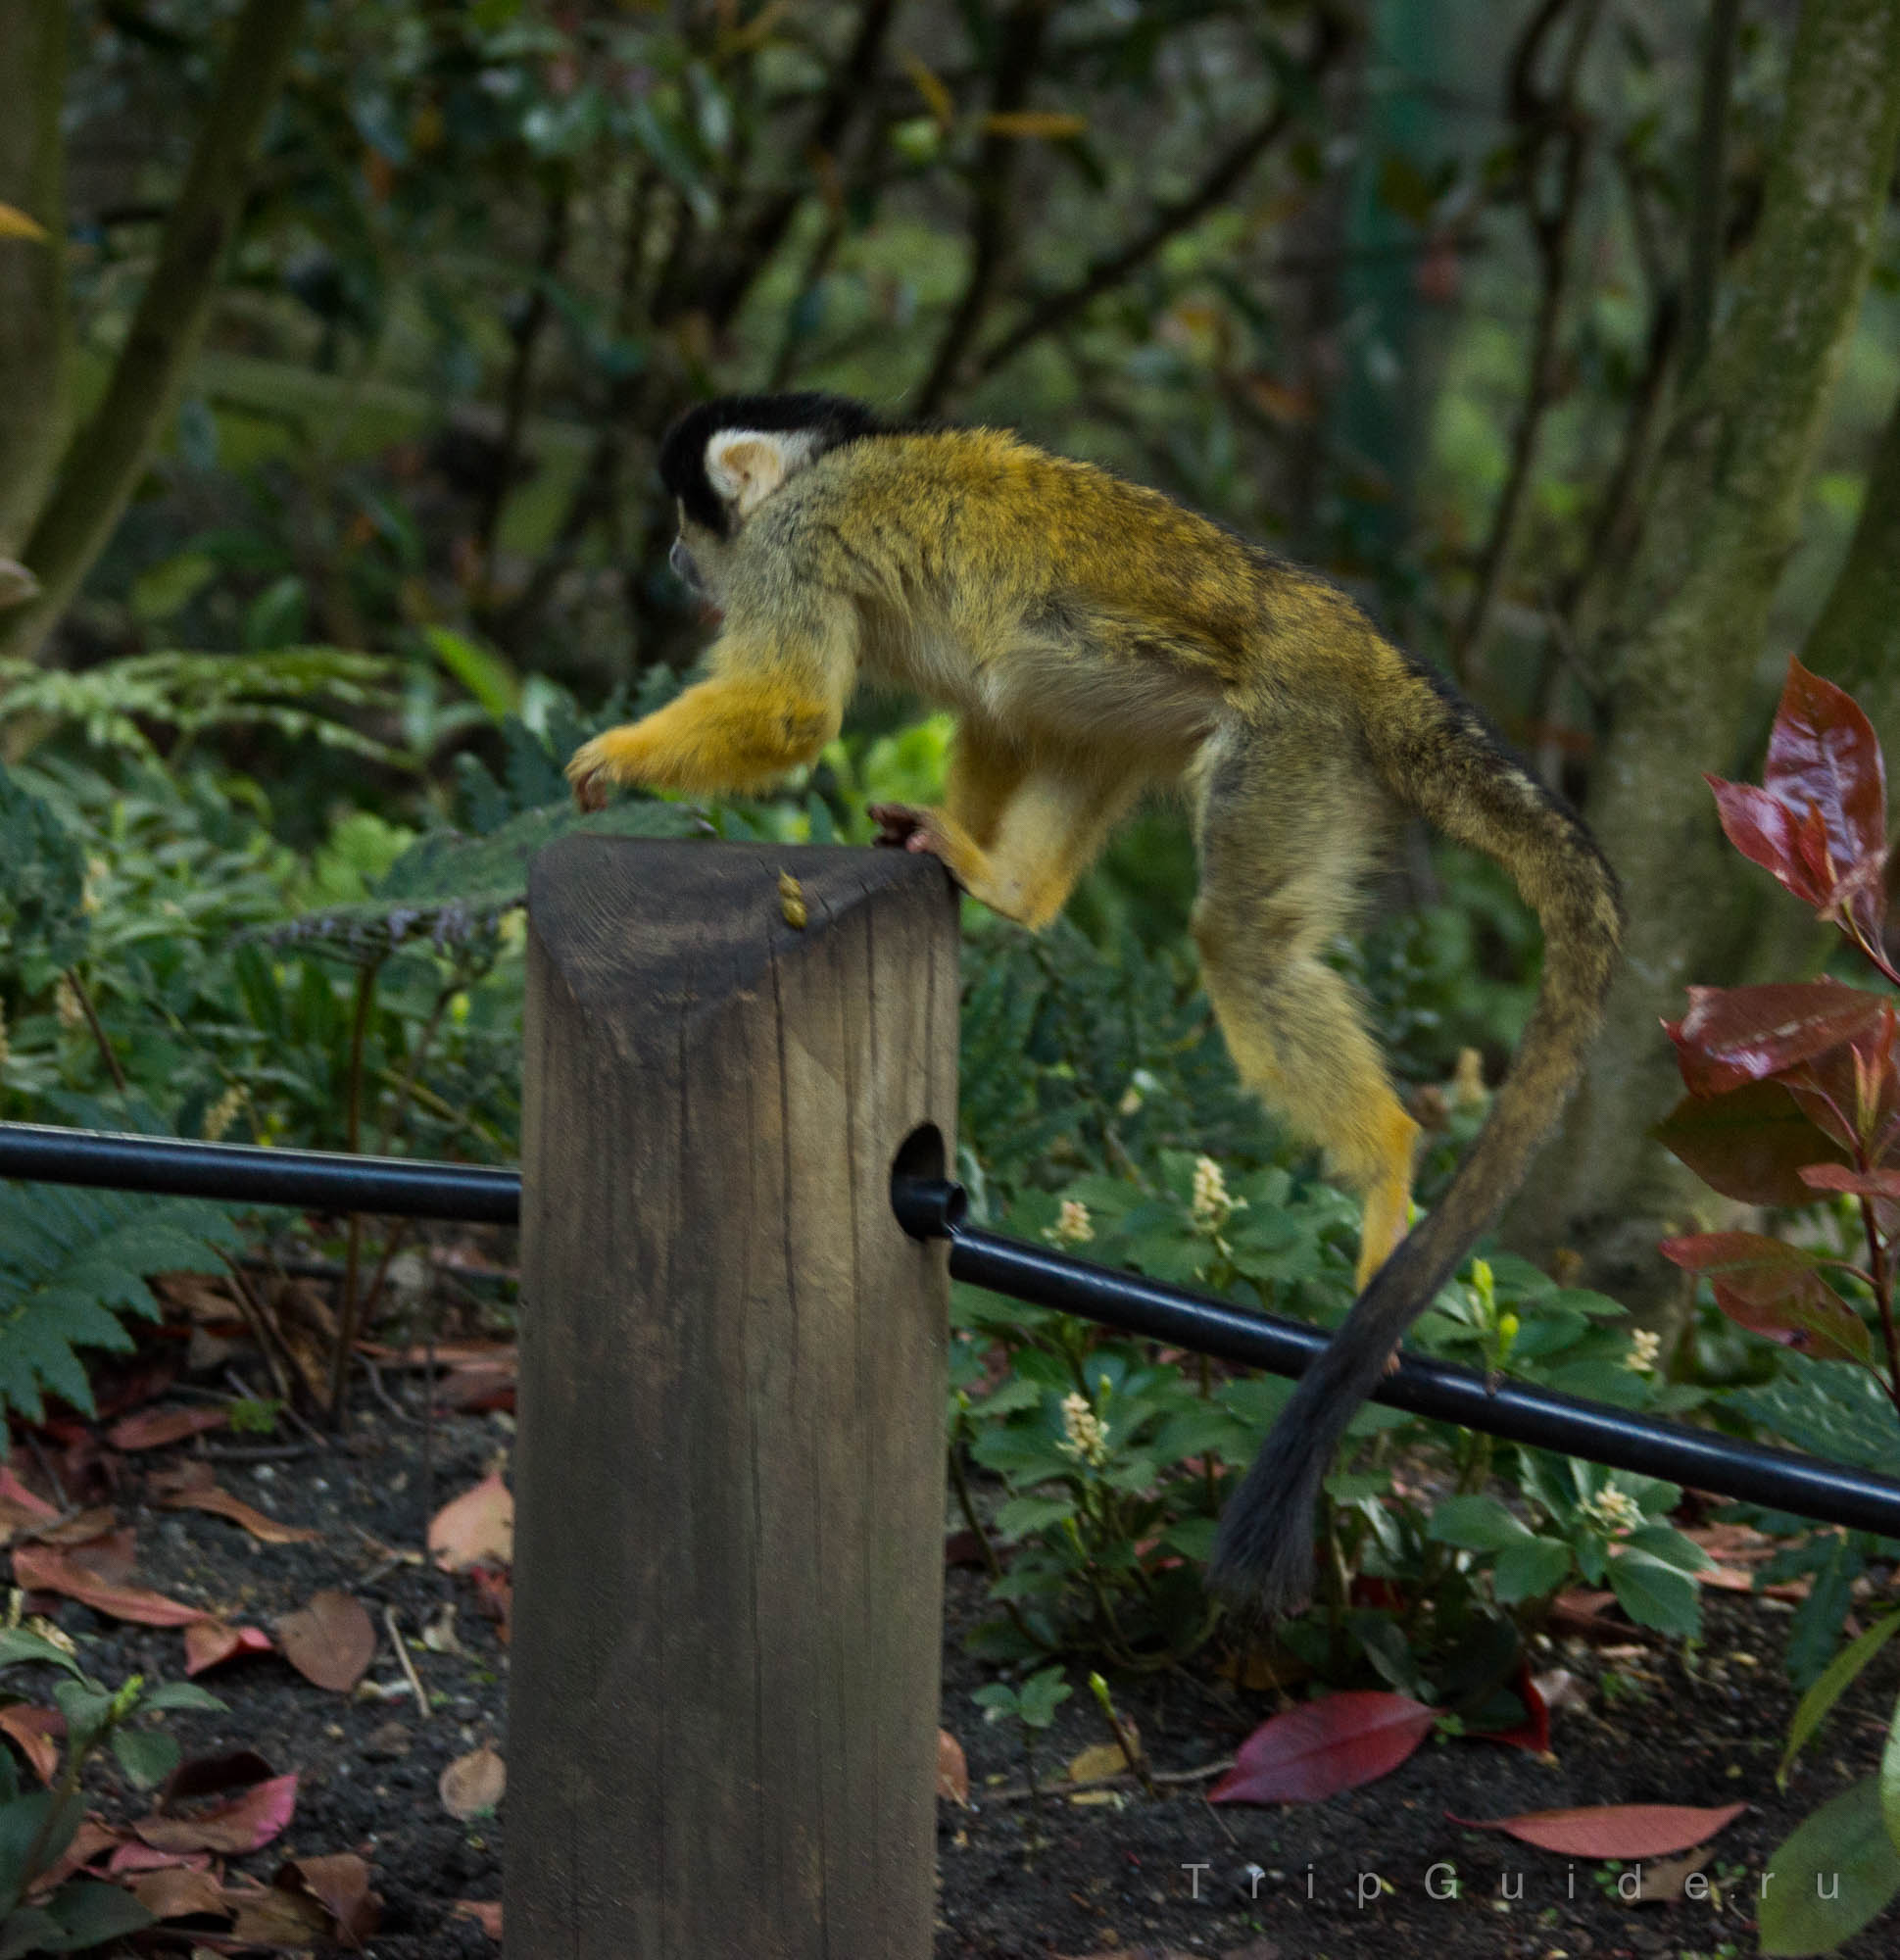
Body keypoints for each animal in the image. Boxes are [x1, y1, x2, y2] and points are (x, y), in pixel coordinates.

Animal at [565, 390, 1624, 1618]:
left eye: (690, 516)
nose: (675, 557)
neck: (820, 470)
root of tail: (1358, 642)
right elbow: (986, 719)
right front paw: (949, 845)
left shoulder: (796, 547)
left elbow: (789, 713)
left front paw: (612, 757)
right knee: (1047, 707)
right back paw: (1011, 888)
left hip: (1291, 736)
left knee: (1239, 939)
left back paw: (1388, 1159)